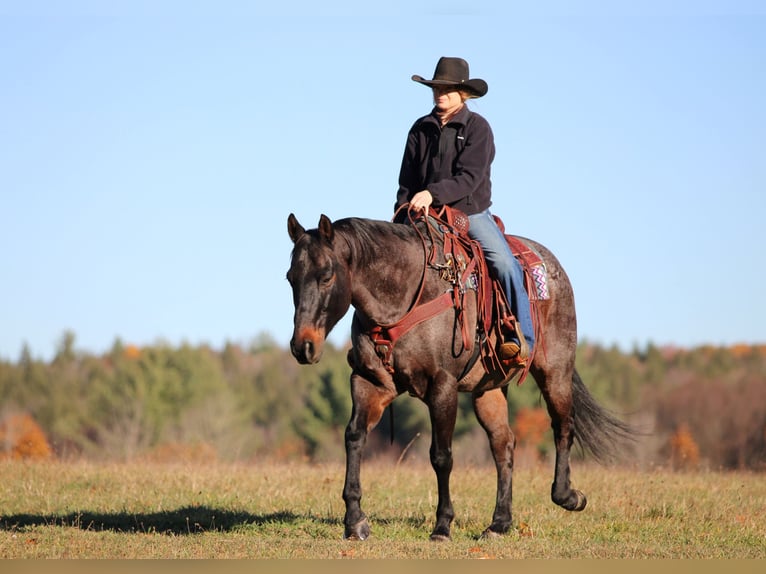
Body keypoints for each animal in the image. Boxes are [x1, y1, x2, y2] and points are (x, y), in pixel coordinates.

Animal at [286, 210, 634, 541]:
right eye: (290, 278)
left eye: (326, 276)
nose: (303, 346)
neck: (407, 296)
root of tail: (551, 264)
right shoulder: (368, 382)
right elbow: (355, 437)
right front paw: (355, 521)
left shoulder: (443, 387)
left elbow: (441, 456)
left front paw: (442, 526)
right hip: (488, 391)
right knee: (504, 445)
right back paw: (499, 523)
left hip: (555, 372)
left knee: (563, 427)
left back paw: (568, 496)